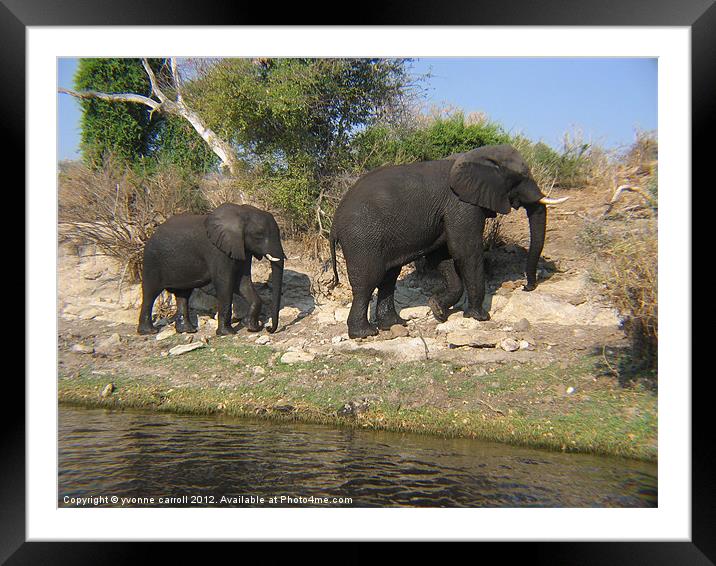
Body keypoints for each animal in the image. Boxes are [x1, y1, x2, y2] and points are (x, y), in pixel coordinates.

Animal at [137, 204, 286, 338]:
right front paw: (227, 333)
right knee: (150, 293)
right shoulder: (217, 251)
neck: (241, 212)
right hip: (151, 261)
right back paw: (149, 331)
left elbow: (242, 283)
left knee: (183, 294)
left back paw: (188, 330)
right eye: (259, 235)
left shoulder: (242, 248)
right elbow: (226, 284)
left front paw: (252, 328)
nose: (268, 328)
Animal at [328, 144, 568, 340]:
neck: (476, 156)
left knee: (388, 277)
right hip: (361, 238)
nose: (527, 288)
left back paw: (395, 324)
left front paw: (438, 310)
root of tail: (334, 222)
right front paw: (479, 317)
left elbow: (442, 258)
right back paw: (365, 333)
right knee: (368, 280)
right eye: (520, 177)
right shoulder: (462, 205)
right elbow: (466, 252)